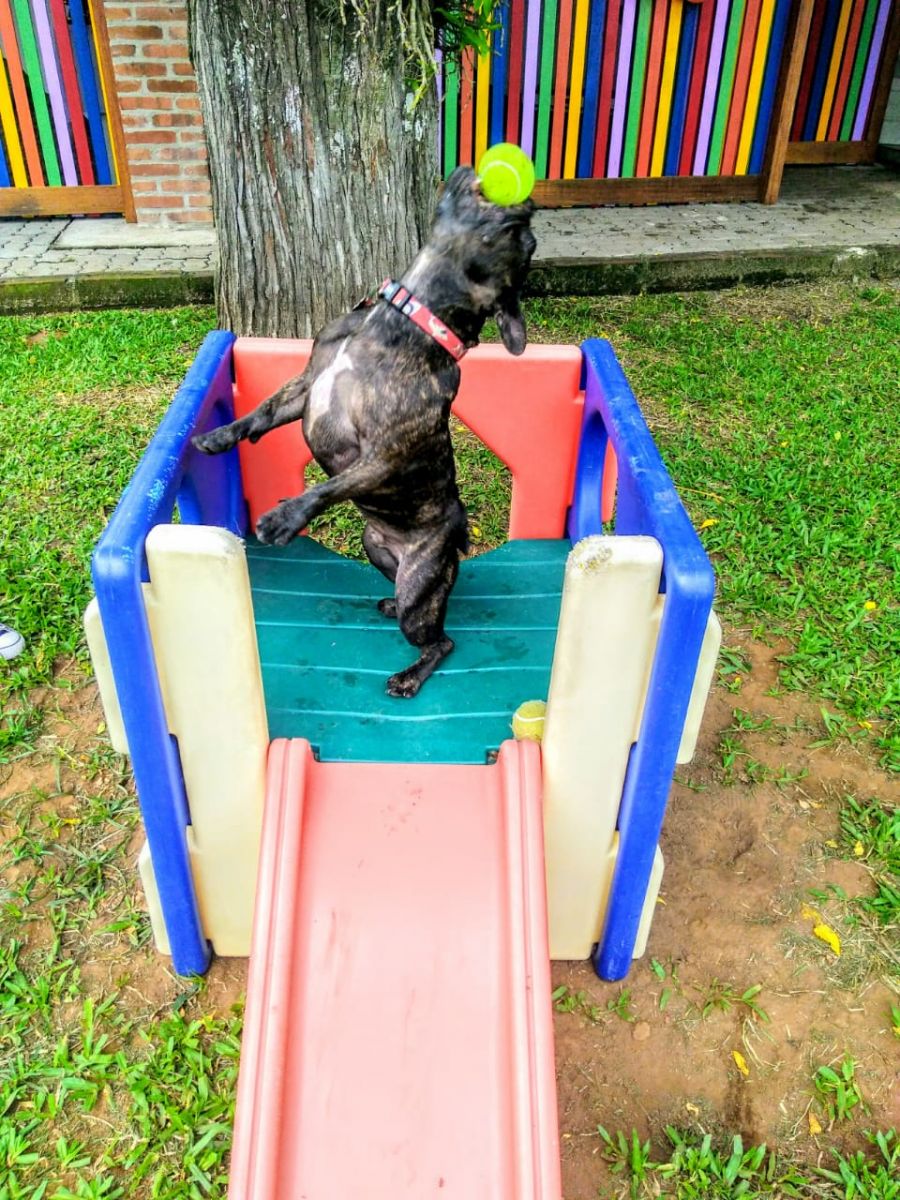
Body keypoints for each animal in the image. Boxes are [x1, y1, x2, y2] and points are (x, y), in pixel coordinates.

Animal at [194, 164, 540, 700]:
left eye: (520, 234)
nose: (531, 206)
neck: (398, 320)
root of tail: (451, 545)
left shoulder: (383, 455)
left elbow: (328, 487)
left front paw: (285, 517)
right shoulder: (305, 387)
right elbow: (262, 413)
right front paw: (221, 435)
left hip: (419, 588)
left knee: (441, 641)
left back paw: (410, 675)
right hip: (376, 549)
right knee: (417, 597)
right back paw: (391, 603)